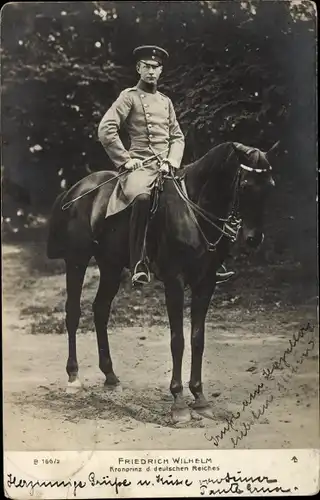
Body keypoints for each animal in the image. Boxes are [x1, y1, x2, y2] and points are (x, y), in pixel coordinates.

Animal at [46, 140, 278, 422]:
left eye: (270, 185)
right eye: (244, 185)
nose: (253, 239)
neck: (193, 212)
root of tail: (75, 189)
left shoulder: (206, 283)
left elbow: (198, 339)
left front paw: (200, 398)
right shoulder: (174, 282)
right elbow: (177, 340)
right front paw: (178, 402)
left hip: (110, 266)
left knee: (100, 310)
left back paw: (111, 377)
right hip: (77, 261)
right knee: (72, 313)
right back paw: (73, 377)